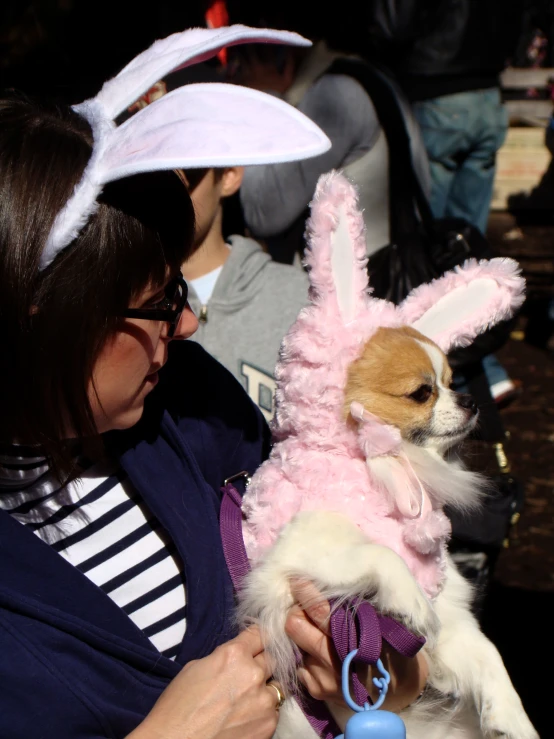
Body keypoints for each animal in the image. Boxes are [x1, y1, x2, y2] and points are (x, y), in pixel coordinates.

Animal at [236, 173, 536, 739]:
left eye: (452, 379)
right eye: (423, 392)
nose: (470, 399)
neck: (393, 469)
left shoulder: (453, 618)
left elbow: (490, 655)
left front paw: (513, 717)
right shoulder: (298, 551)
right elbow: (378, 554)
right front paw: (408, 600)